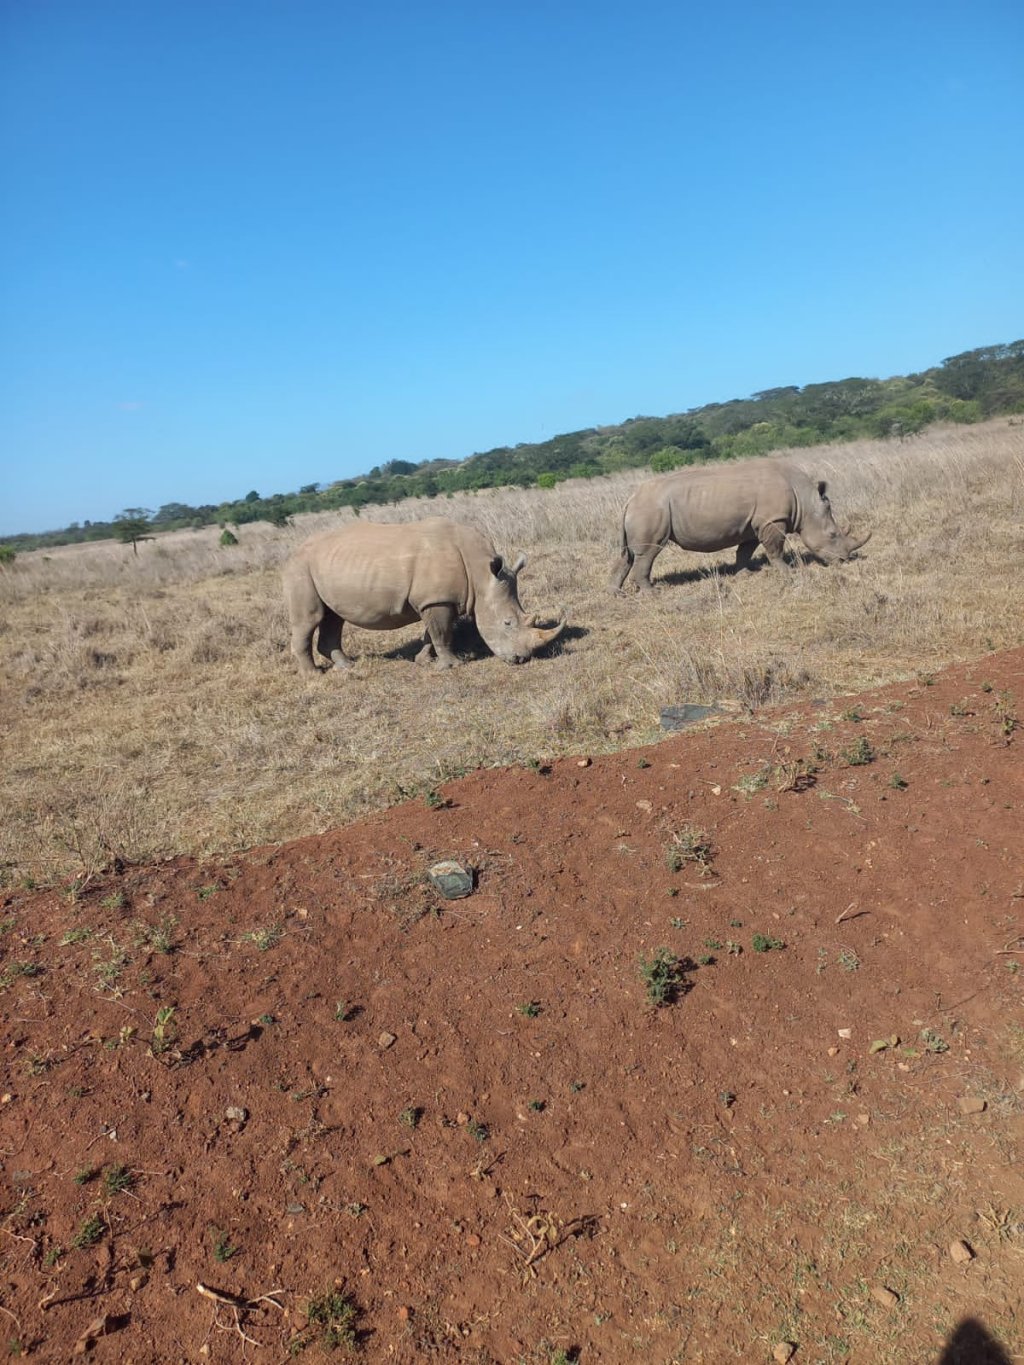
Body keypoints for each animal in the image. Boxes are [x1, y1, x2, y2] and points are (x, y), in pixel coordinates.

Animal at [285, 515, 565, 671]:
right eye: (507, 623)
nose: (520, 660)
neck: (481, 574)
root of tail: (293, 551)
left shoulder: (439, 599)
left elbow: (433, 633)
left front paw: (424, 661)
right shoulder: (436, 600)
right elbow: (442, 633)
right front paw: (452, 666)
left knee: (333, 617)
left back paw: (347, 667)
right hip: (300, 567)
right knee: (310, 619)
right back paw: (313, 675)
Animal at [608, 458, 873, 592]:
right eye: (833, 534)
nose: (844, 560)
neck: (805, 500)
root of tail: (630, 500)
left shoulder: (755, 523)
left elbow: (745, 550)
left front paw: (745, 573)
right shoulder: (773, 519)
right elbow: (775, 549)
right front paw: (788, 571)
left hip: (644, 509)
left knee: (628, 555)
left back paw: (617, 594)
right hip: (651, 510)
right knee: (648, 552)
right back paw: (653, 593)